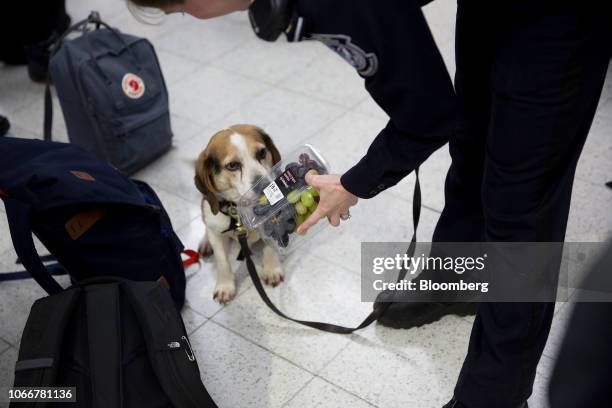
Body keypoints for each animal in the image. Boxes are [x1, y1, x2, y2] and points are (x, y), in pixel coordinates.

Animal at [195, 124, 286, 302]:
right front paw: (225, 286)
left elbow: (270, 246)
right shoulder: (217, 233)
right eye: (232, 165)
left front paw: (272, 268)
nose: (265, 186)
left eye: (262, 153)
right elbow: (222, 261)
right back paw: (205, 242)